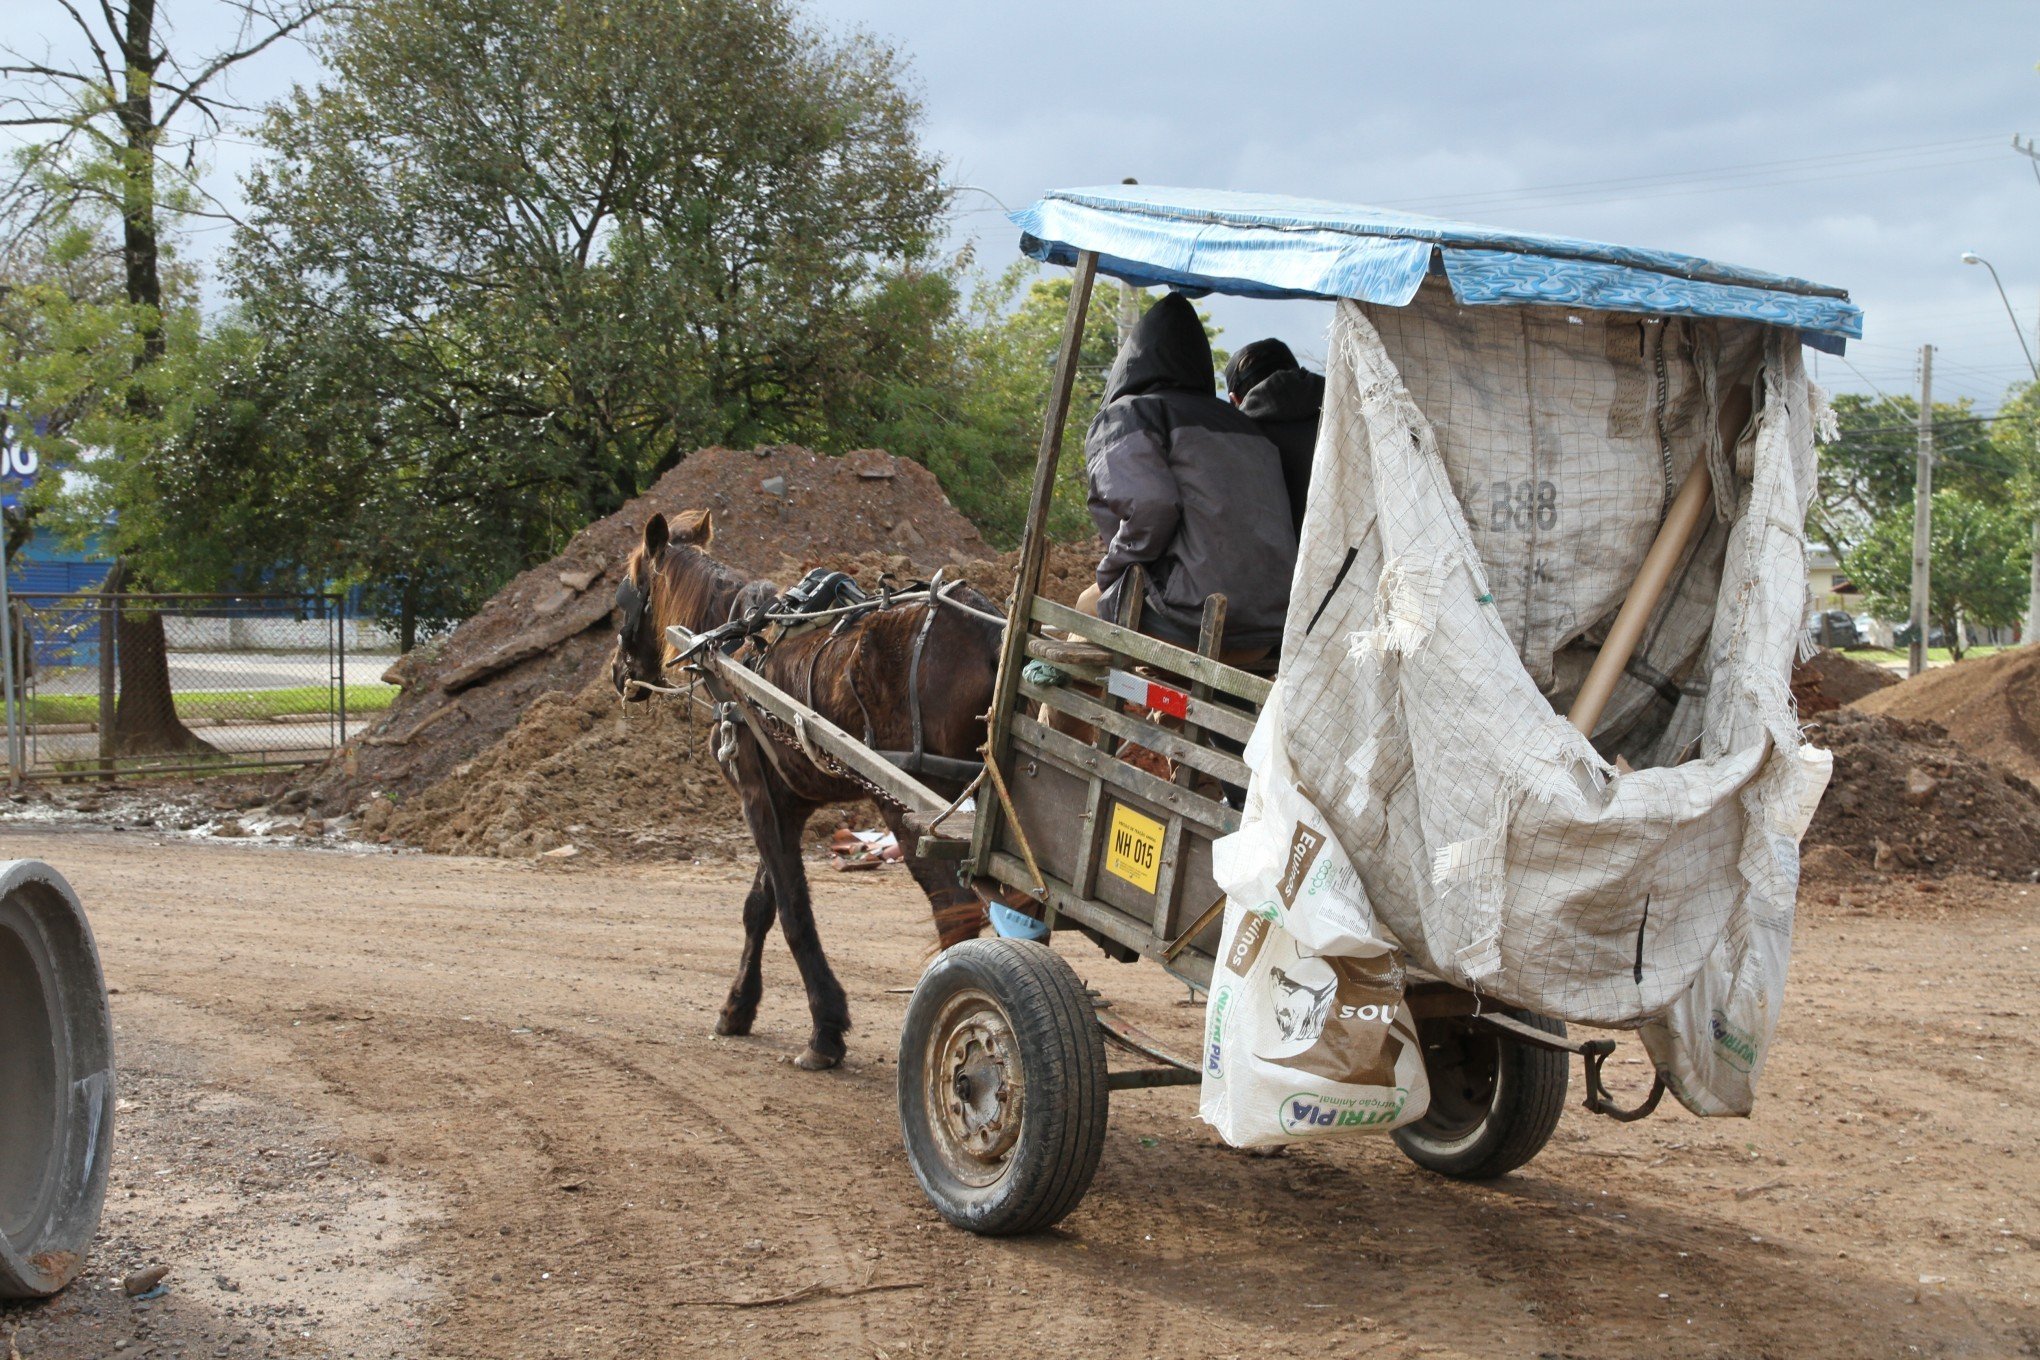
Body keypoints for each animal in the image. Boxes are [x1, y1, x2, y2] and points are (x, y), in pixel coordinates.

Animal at [612, 509, 1003, 1076]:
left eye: (625, 594)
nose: (618, 672)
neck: (734, 641)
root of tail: (990, 632)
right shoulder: (786, 803)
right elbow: (760, 906)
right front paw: (738, 1007)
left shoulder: (755, 794)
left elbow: (795, 913)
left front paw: (825, 1030)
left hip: (918, 809)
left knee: (955, 910)